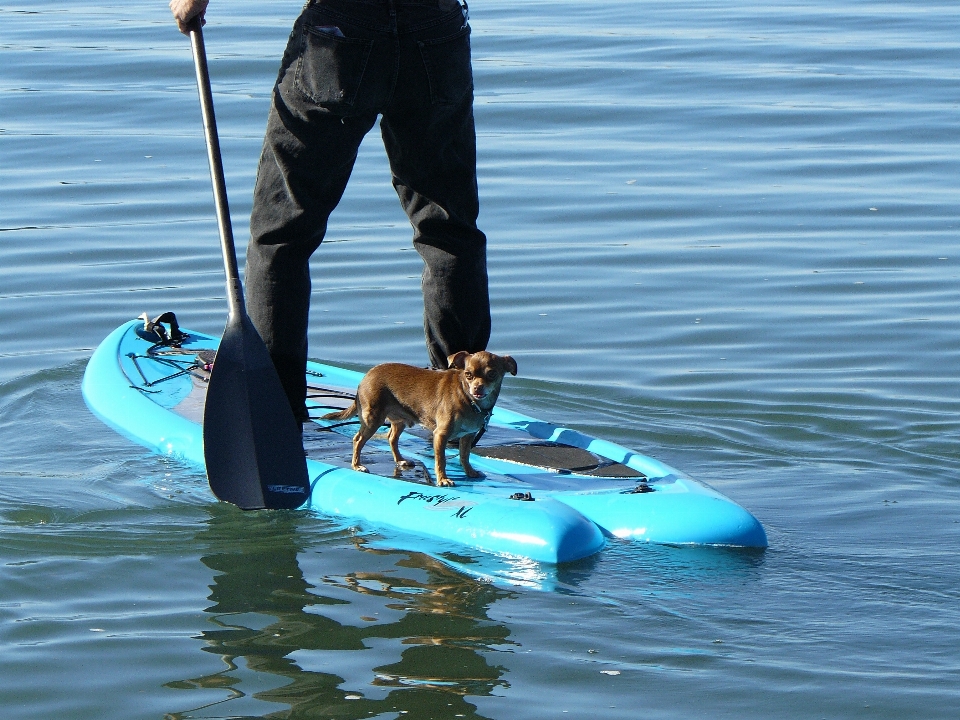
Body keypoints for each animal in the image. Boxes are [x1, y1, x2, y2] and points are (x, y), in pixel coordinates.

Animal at [322, 352, 516, 486]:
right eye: (468, 375)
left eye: (492, 375)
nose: (477, 388)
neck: (469, 400)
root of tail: (366, 376)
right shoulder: (441, 435)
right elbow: (441, 460)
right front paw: (443, 479)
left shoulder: (468, 435)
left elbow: (464, 455)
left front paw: (470, 472)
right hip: (372, 420)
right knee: (358, 440)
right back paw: (357, 465)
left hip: (398, 421)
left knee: (391, 438)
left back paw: (400, 460)